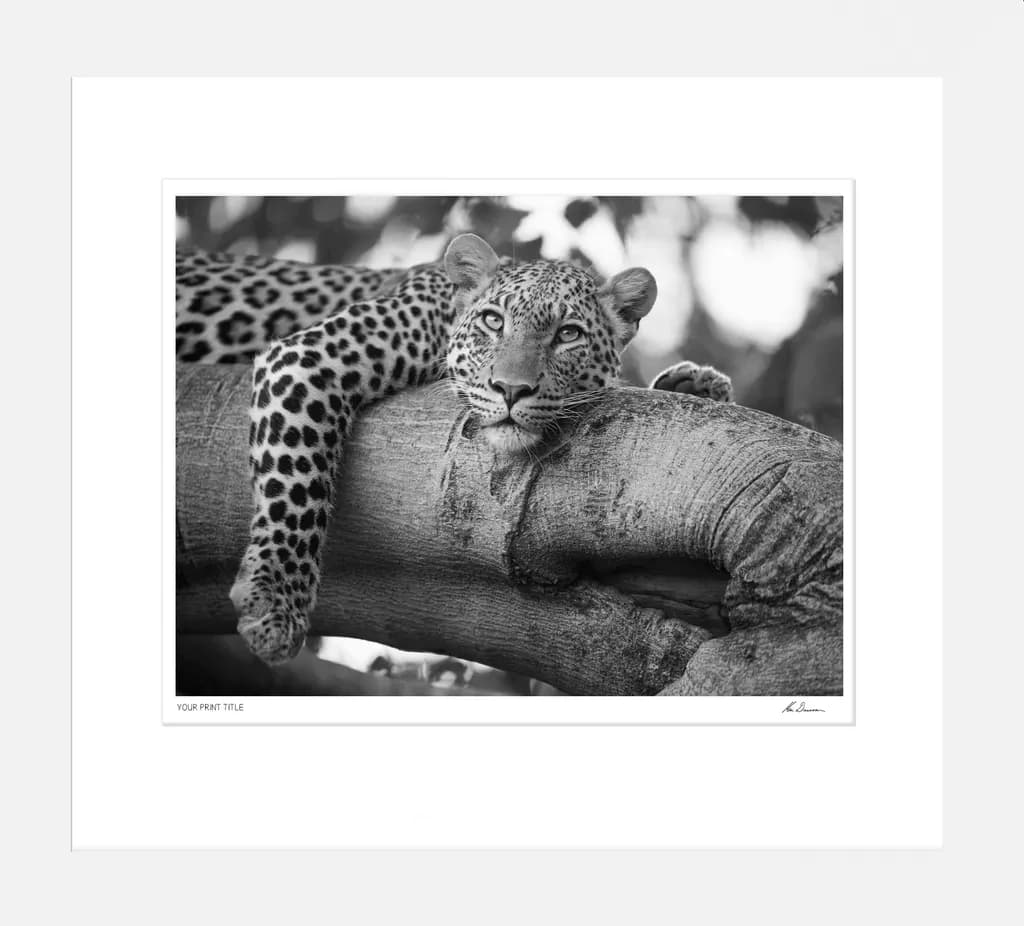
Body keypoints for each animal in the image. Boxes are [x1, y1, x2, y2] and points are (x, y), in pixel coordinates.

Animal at [176, 235, 733, 666]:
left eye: (568, 334)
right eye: (493, 322)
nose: (511, 389)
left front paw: (696, 384)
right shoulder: (306, 357)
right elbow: (296, 481)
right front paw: (274, 602)